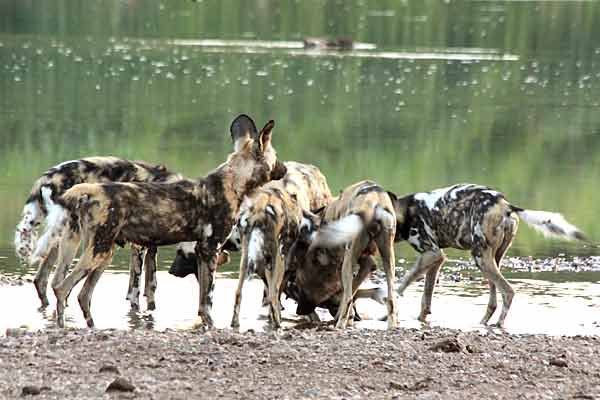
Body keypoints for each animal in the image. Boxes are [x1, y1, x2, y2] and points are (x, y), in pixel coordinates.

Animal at [14, 155, 183, 306]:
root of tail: (46, 180)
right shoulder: (138, 248)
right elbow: (135, 291)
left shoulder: (150, 250)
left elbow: (150, 287)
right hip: (72, 239)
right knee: (57, 281)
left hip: (58, 242)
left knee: (41, 279)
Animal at [34, 115, 288, 328]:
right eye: (277, 158)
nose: (285, 169)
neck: (234, 181)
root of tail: (89, 191)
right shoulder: (210, 250)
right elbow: (208, 300)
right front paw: (213, 326)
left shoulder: (201, 251)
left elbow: (202, 304)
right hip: (98, 252)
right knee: (62, 288)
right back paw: (62, 326)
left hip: (100, 253)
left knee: (79, 294)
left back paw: (92, 327)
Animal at [229, 161, 332, 330]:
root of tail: (261, 206)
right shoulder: (283, 263)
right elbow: (275, 295)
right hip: (279, 259)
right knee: (273, 294)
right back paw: (278, 324)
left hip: (246, 260)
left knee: (239, 292)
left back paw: (235, 323)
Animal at [288, 180, 396, 328]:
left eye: (299, 286)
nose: (299, 311)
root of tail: (373, 198)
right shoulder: (367, 262)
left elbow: (346, 294)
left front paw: (344, 315)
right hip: (388, 258)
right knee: (391, 298)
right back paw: (392, 325)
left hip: (348, 263)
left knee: (349, 297)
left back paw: (339, 325)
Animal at [386, 183, 588, 326]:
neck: (404, 211)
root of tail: (506, 205)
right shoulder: (437, 259)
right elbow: (426, 298)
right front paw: (420, 319)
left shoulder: (431, 253)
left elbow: (402, 285)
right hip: (492, 259)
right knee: (494, 300)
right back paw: (482, 323)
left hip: (480, 258)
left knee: (508, 291)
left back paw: (499, 324)